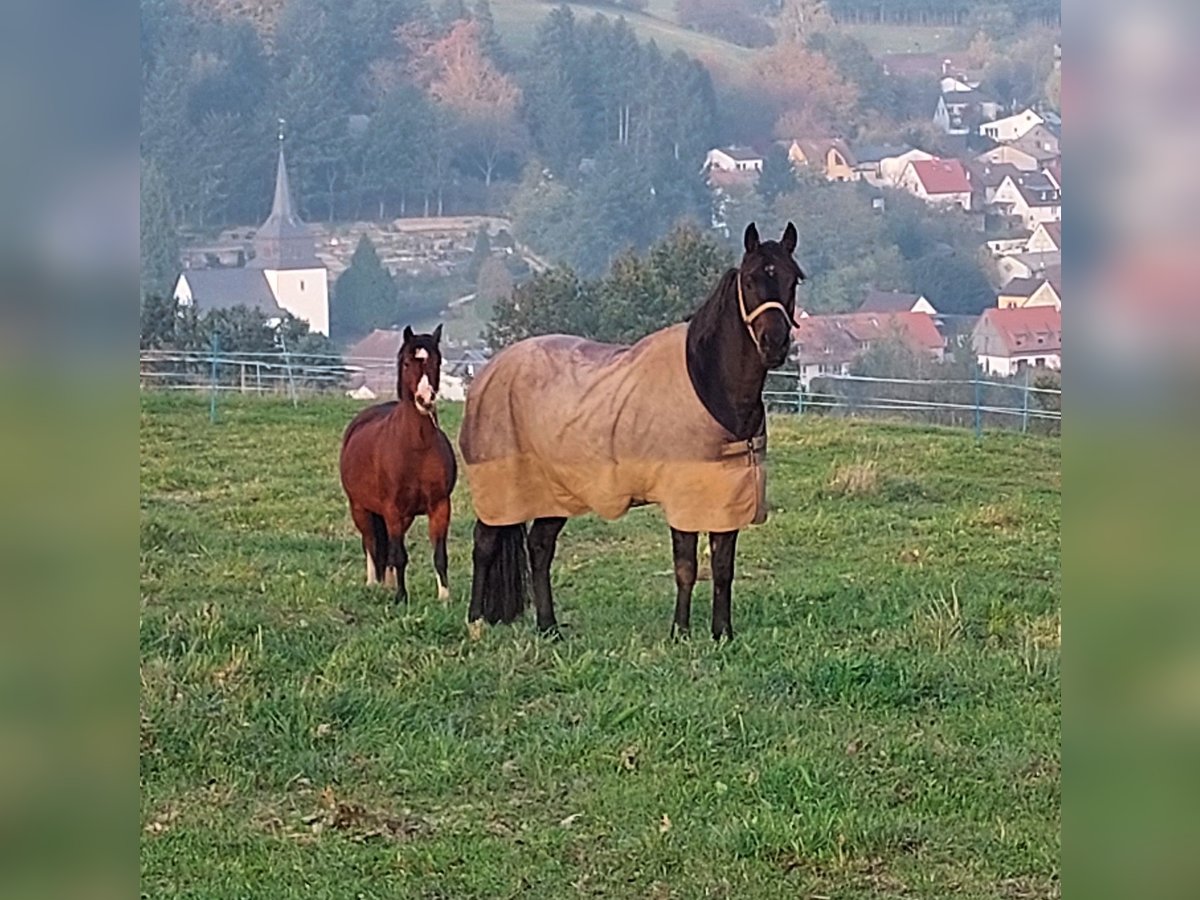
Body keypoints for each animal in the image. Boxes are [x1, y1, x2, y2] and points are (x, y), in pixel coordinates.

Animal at [340, 324, 456, 607]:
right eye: (406, 363)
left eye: (437, 361)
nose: (425, 399)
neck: (416, 447)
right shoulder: (392, 509)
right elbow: (398, 554)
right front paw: (401, 597)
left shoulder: (440, 507)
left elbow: (439, 555)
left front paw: (444, 598)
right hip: (361, 508)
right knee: (371, 543)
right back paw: (374, 584)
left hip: (405, 517)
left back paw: (389, 583)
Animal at [458, 224, 806, 643]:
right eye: (751, 279)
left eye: (792, 279)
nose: (774, 343)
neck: (710, 383)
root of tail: (489, 371)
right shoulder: (683, 498)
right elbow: (686, 567)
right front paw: (679, 633)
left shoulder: (726, 496)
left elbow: (723, 569)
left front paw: (722, 633)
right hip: (502, 483)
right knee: (485, 543)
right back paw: (476, 621)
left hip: (557, 490)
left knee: (539, 547)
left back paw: (549, 627)